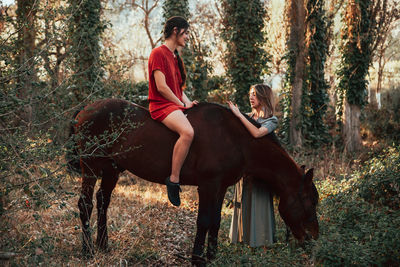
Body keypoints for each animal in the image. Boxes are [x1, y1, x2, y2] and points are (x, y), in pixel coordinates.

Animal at [69, 99, 318, 266]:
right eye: (310, 202)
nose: (314, 239)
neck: (236, 139)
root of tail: (85, 109)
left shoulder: (221, 187)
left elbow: (215, 221)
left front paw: (212, 255)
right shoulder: (207, 186)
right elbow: (204, 221)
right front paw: (198, 258)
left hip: (112, 169)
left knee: (103, 202)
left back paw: (103, 246)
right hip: (90, 167)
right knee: (86, 204)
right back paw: (88, 251)